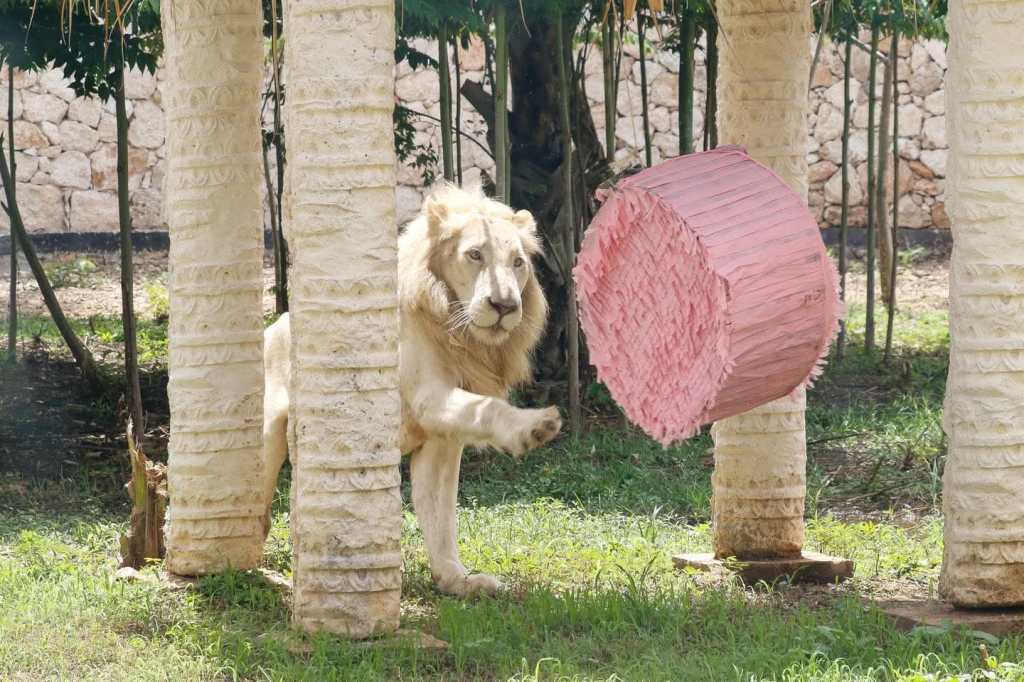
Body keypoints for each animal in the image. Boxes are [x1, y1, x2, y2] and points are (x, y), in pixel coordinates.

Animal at [261, 184, 562, 596]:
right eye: (475, 254)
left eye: (517, 262)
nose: (503, 305)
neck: (461, 334)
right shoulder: (426, 398)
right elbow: (486, 407)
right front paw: (534, 427)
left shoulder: (440, 440)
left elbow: (440, 515)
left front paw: (456, 580)